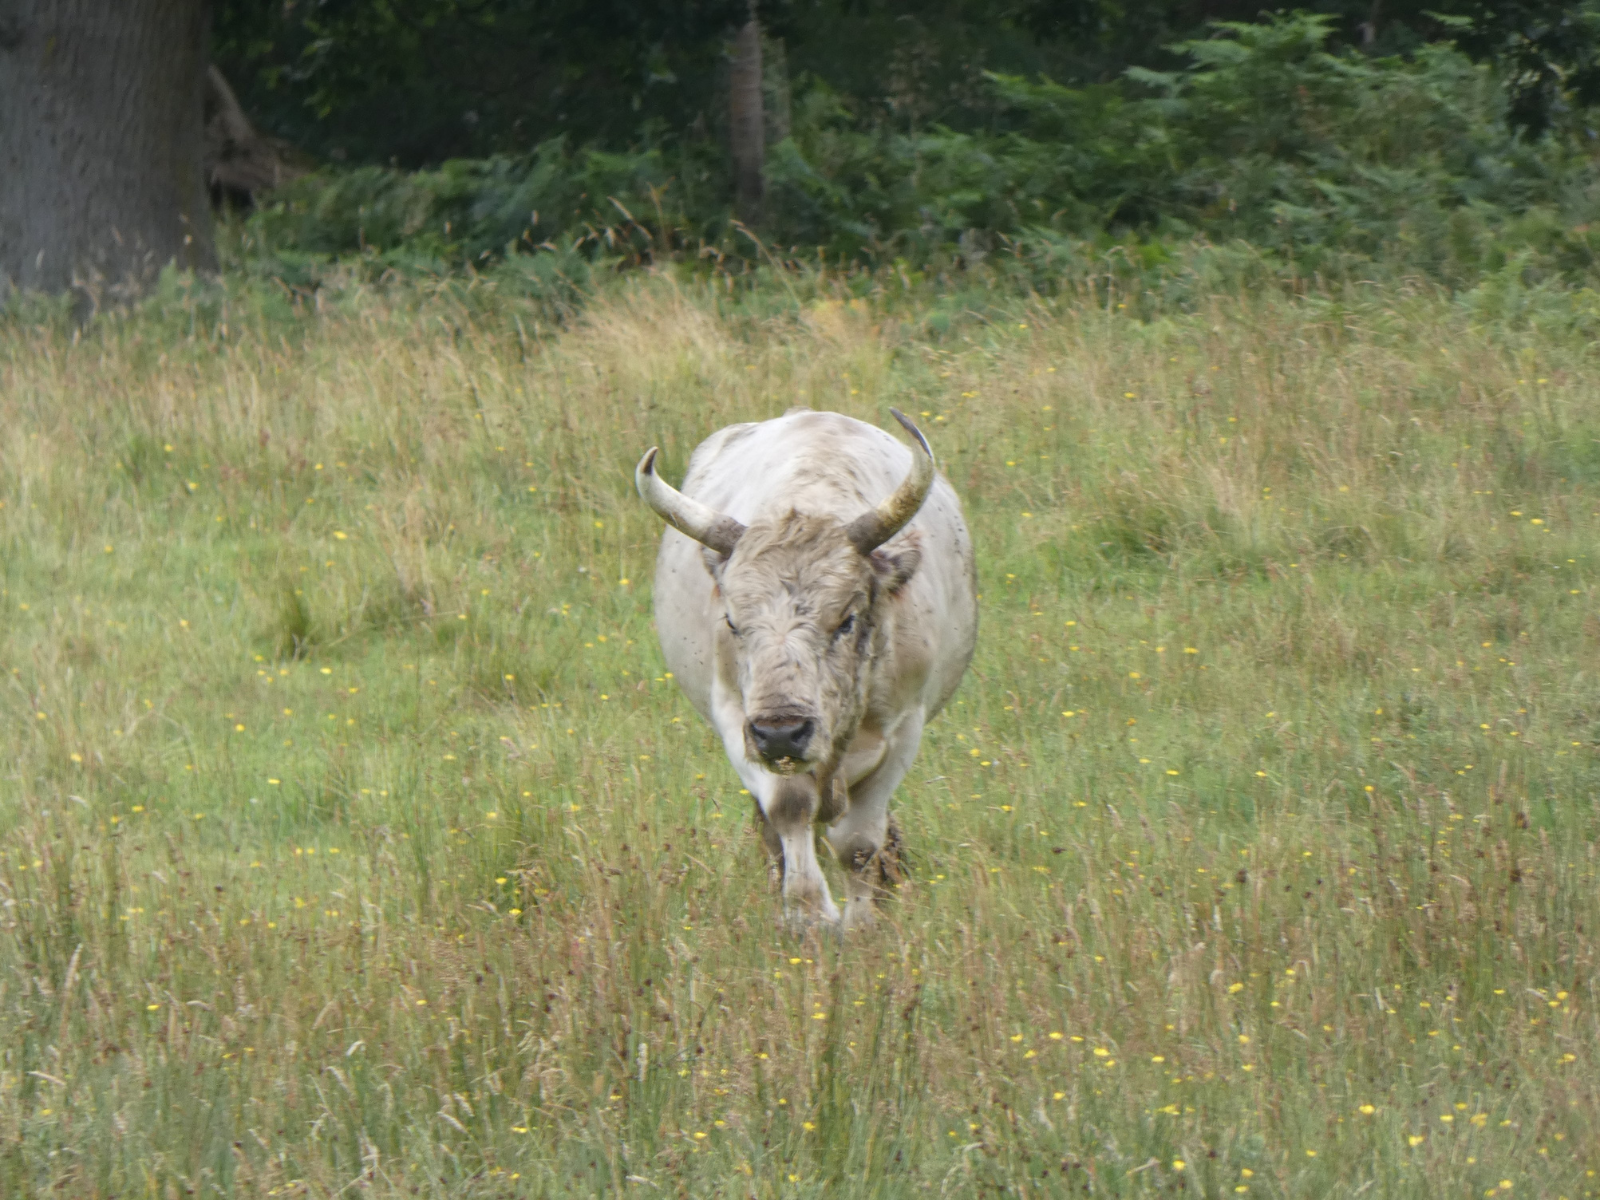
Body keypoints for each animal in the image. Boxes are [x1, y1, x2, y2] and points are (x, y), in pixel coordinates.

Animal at [635, 408, 977, 929]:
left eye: (847, 619)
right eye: (732, 622)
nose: (781, 731)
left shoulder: (905, 727)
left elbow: (858, 843)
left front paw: (861, 924)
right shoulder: (736, 718)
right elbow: (788, 808)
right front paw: (807, 916)